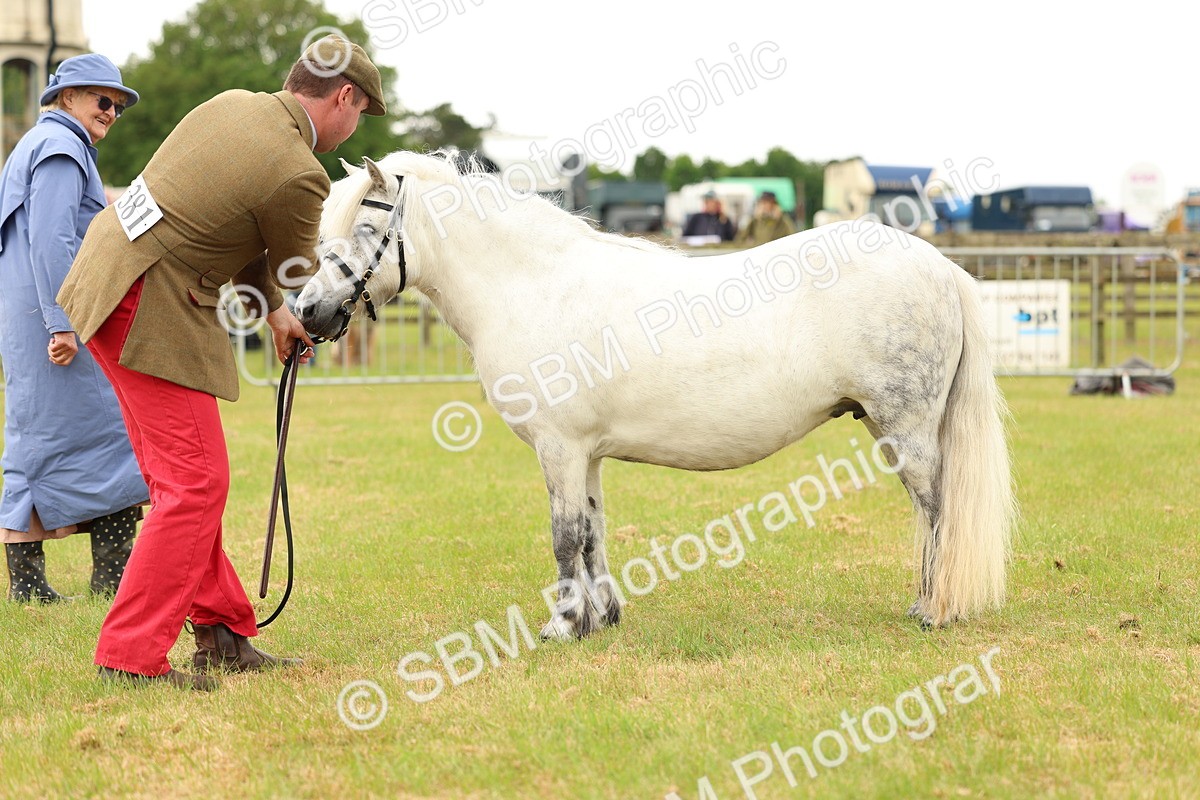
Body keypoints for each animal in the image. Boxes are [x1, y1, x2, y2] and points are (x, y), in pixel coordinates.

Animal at [293, 151, 1016, 640]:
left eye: (366, 227)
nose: (306, 312)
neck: (534, 286)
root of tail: (939, 265)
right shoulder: (586, 453)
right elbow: (593, 531)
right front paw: (601, 618)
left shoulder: (559, 447)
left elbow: (563, 535)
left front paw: (560, 627)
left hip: (906, 428)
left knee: (938, 509)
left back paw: (933, 609)